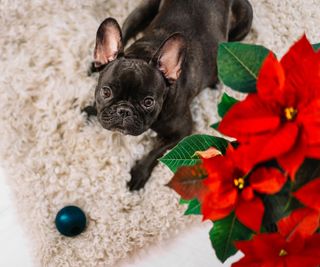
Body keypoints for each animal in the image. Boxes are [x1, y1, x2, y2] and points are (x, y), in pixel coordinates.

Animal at [84, 1, 254, 192]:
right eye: (106, 92)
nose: (124, 111)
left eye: (148, 102)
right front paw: (91, 110)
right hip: (142, 11)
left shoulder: (182, 131)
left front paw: (139, 173)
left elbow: (156, 152)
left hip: (244, 20)